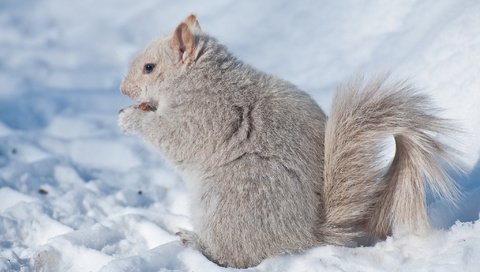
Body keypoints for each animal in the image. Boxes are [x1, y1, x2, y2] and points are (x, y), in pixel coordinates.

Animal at [118, 14, 464, 268]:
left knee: (235, 256)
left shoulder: (205, 115)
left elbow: (174, 136)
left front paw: (128, 118)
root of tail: (308, 236)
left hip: (230, 202)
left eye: (149, 67)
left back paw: (196, 242)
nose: (123, 90)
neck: (200, 79)